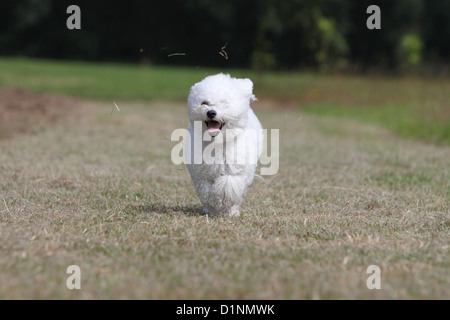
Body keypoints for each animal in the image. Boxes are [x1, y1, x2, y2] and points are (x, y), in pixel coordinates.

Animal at [185, 74, 262, 216]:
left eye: (224, 104)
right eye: (204, 103)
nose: (211, 112)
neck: (217, 142)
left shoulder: (235, 170)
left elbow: (227, 185)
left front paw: (220, 201)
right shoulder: (202, 172)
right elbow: (205, 189)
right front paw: (212, 205)